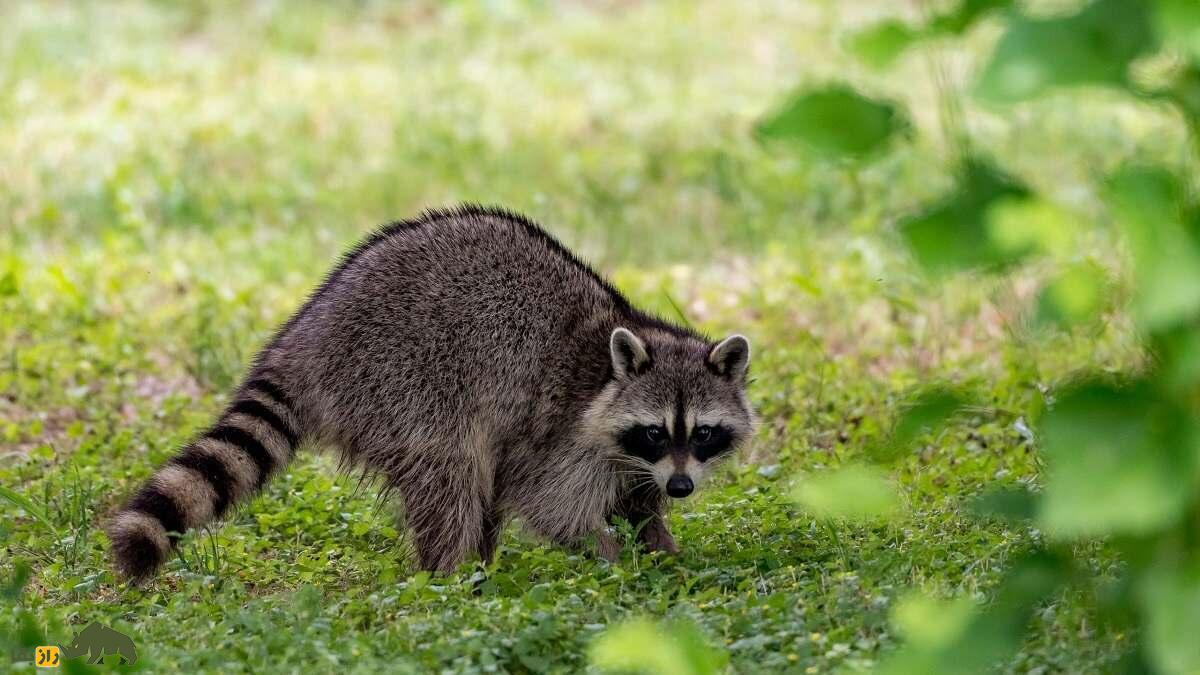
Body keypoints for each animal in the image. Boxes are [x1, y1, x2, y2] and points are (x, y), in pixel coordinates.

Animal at [110, 204, 748, 578]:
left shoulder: (629, 460)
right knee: (453, 474)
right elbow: (551, 503)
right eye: (655, 431)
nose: (683, 486)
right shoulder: (562, 431)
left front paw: (663, 554)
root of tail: (304, 338)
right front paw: (614, 564)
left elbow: (636, 501)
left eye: (704, 433)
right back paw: (451, 576)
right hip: (403, 382)